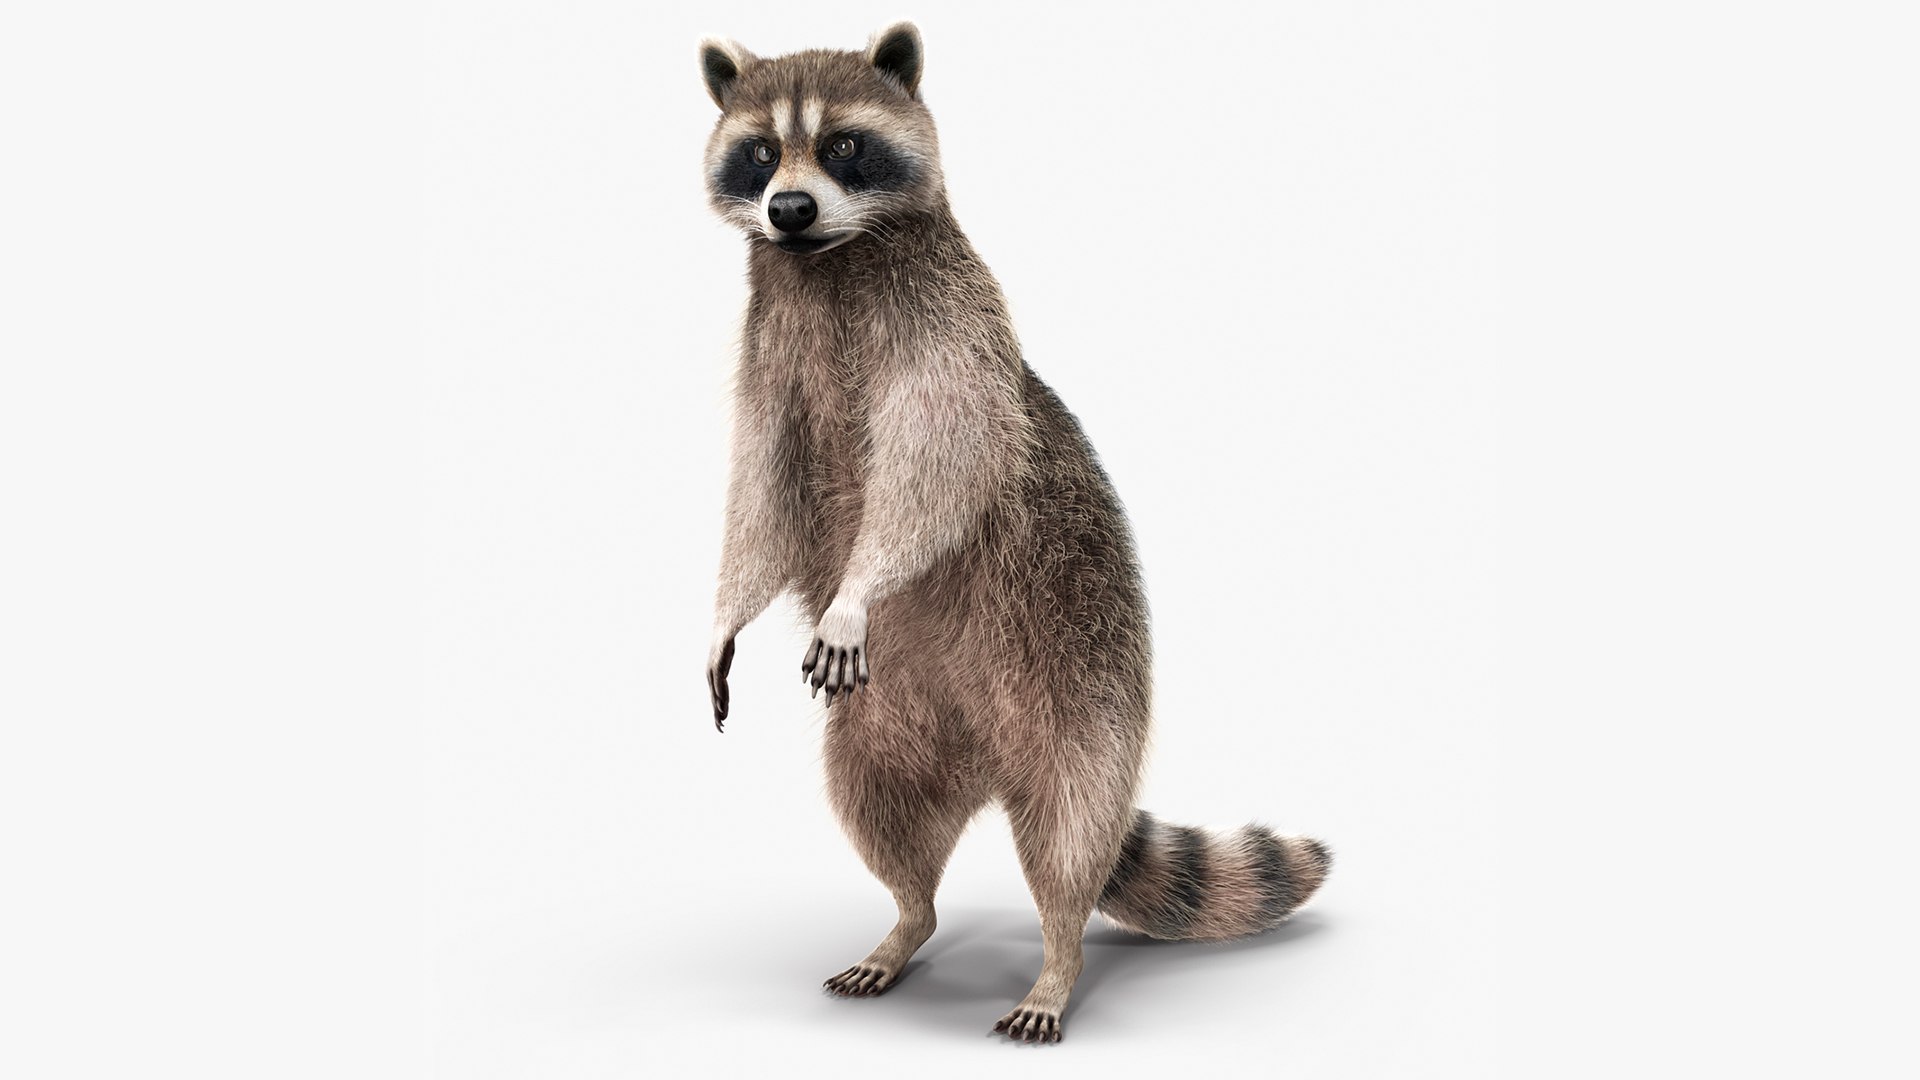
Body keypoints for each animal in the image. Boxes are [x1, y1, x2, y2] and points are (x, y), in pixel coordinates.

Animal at [699, 23, 1331, 1043]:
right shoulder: (768, 359)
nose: (786, 209)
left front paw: (857, 590)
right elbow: (760, 495)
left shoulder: (950, 328)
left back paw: (1056, 960)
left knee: (1070, 835)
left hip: (1082, 688)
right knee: (879, 810)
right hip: (886, 724)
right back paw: (907, 920)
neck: (825, 260)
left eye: (843, 144)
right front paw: (727, 610)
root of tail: (985, 760)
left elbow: (942, 462)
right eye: (759, 153)